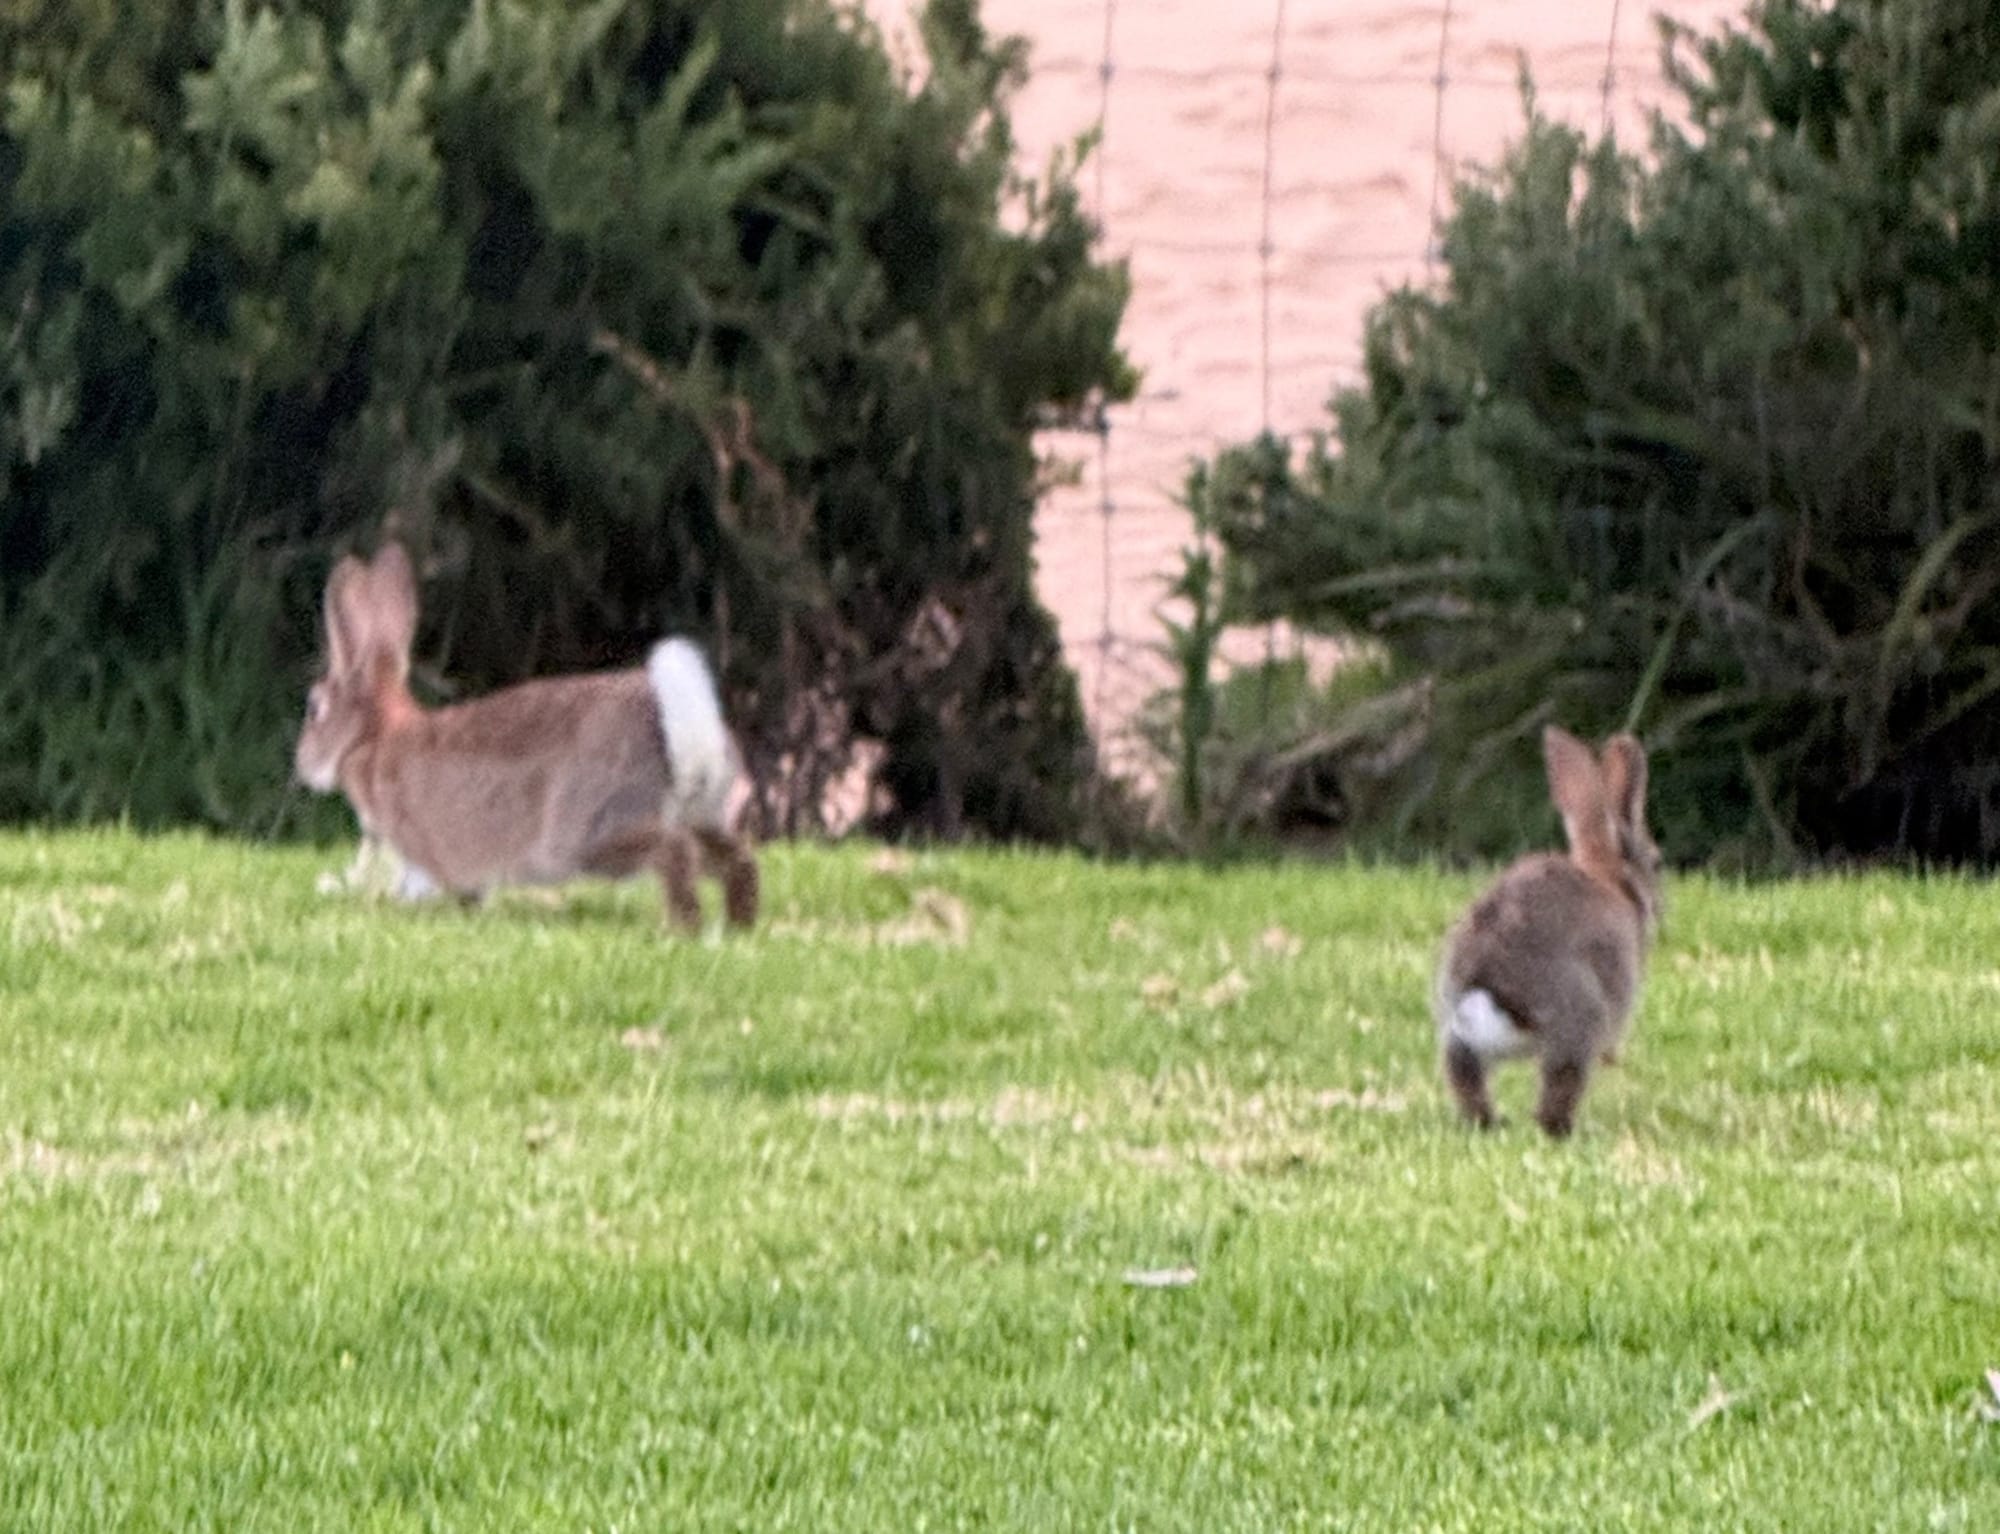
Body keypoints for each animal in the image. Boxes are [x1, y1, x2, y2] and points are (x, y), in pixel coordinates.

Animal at [294, 542, 758, 932]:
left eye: (314, 709)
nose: (302, 765)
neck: (371, 740)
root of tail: (683, 741)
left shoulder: (422, 844)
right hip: (700, 813)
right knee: (738, 859)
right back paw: (738, 928)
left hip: (588, 831)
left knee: (673, 851)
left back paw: (683, 928)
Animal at [1433, 724, 1661, 1138]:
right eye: (1657, 862)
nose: (1658, 908)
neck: (1608, 877)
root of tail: (1487, 992)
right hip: (1578, 1018)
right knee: (1558, 1088)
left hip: (1458, 1037)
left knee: (1466, 1079)